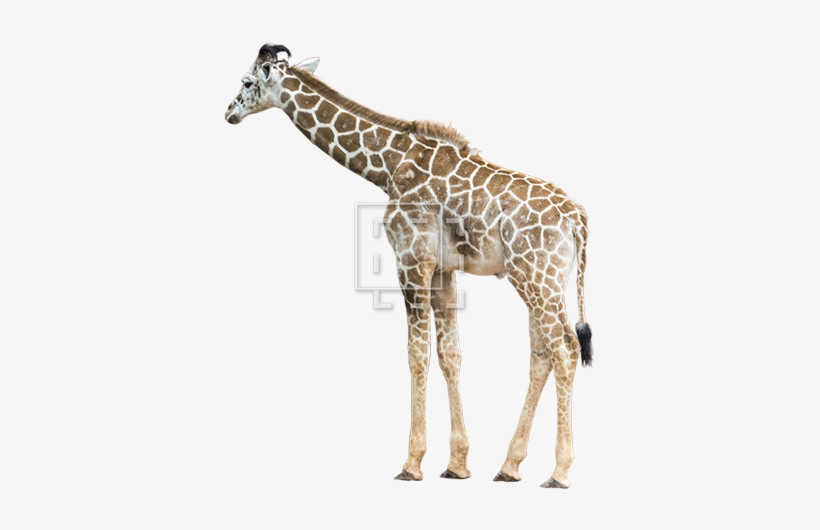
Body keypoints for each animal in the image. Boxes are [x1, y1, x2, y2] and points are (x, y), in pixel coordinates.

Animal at [225, 44, 594, 488]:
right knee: (542, 355)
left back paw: (559, 472)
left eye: (246, 82)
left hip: (537, 277)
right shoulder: (443, 270)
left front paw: (412, 463)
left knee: (566, 348)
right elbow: (450, 354)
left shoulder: (411, 259)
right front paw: (457, 464)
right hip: (542, 280)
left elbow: (417, 353)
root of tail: (577, 219)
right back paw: (509, 466)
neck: (387, 165)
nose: (228, 112)